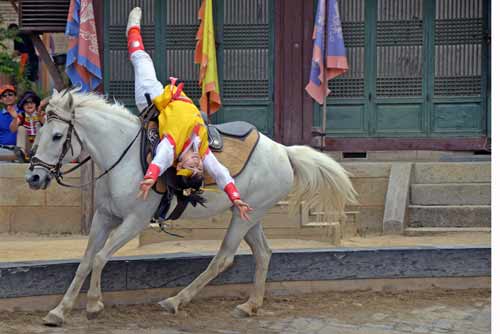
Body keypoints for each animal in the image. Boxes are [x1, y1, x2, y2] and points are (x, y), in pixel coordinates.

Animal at [25, 88, 358, 326]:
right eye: (38, 134)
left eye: (57, 136)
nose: (34, 177)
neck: (122, 155)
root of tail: (284, 151)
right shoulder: (104, 217)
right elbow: (85, 261)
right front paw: (59, 311)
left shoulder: (134, 220)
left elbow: (100, 258)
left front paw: (94, 304)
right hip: (249, 214)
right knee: (263, 253)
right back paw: (249, 305)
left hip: (244, 218)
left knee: (223, 258)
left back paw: (175, 300)